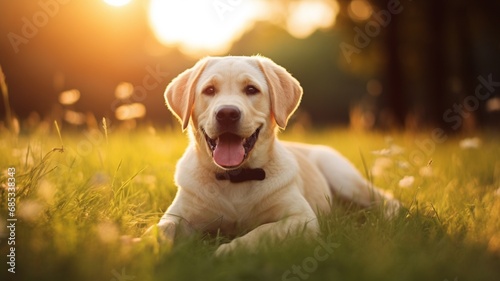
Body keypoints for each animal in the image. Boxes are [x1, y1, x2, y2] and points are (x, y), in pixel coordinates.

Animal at [152, 54, 398, 254]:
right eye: (209, 90)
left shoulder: (301, 218)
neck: (236, 178)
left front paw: (229, 251)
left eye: (251, 89)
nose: (227, 113)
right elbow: (160, 229)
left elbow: (260, 232)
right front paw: (146, 248)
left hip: (343, 176)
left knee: (385, 198)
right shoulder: (178, 216)